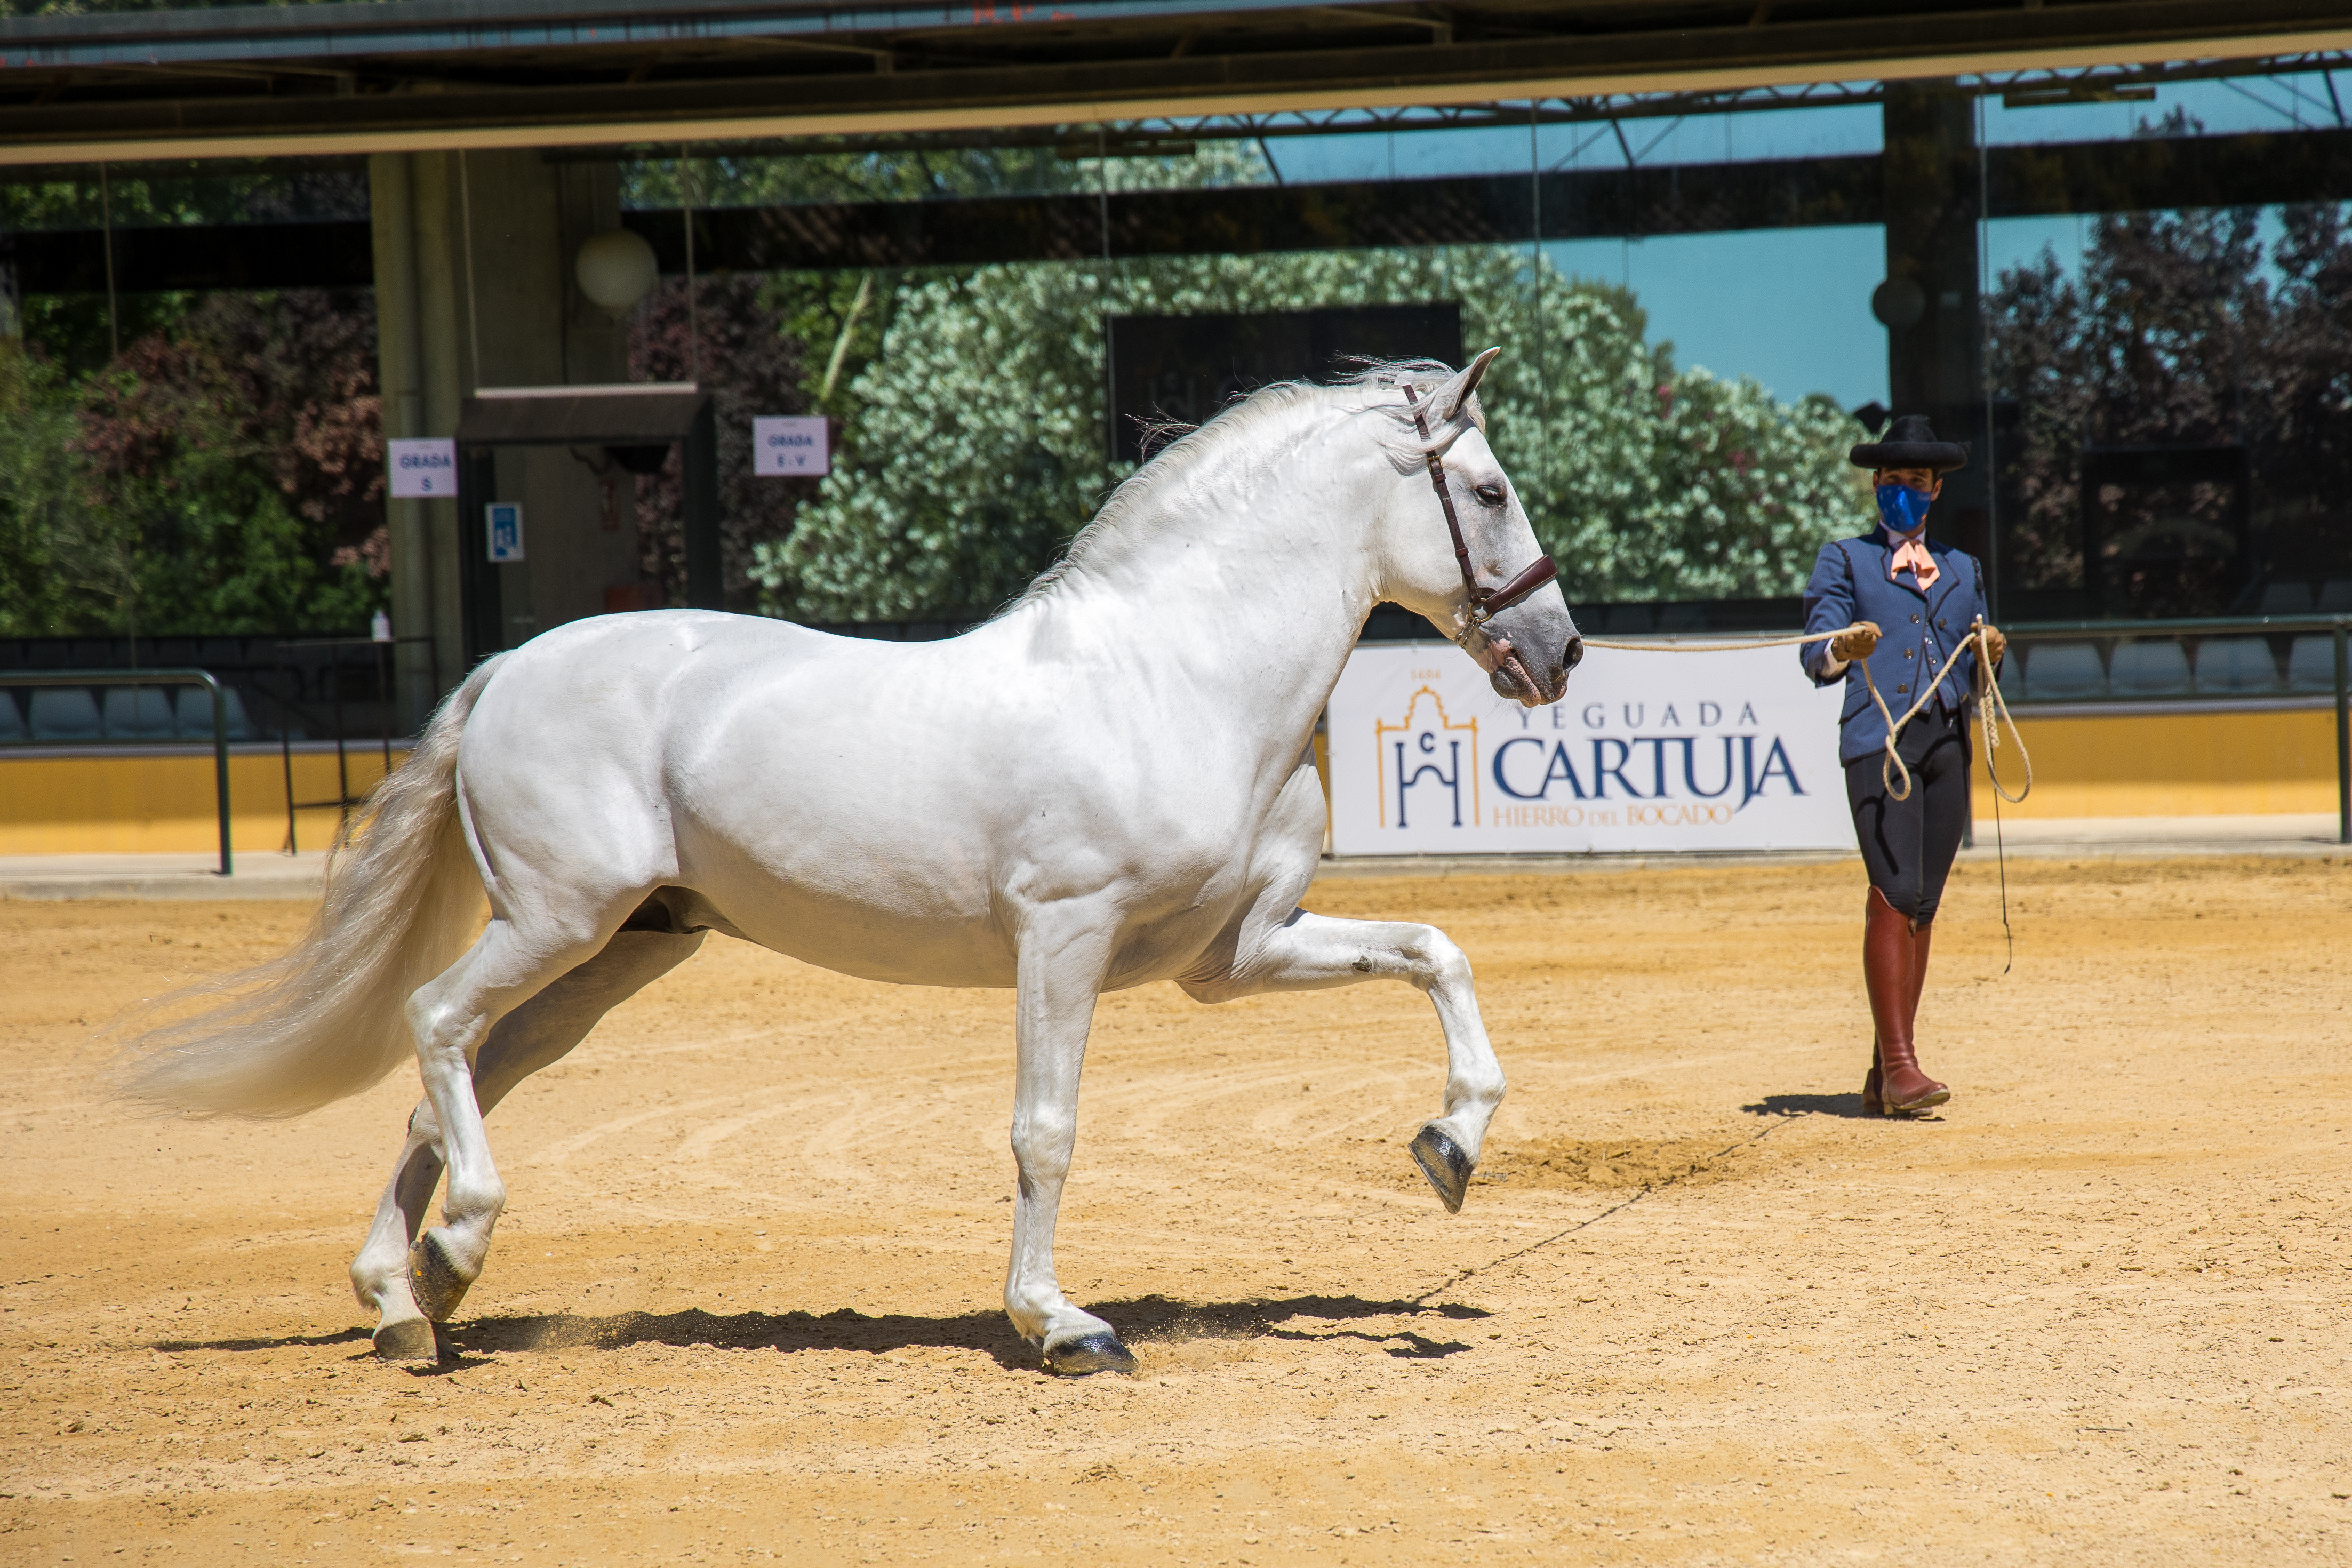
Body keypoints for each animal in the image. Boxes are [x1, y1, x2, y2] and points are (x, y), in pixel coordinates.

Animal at [119, 350, 1583, 1374]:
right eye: (1492, 492)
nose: (1558, 653)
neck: (1171, 678)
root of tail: (503, 671)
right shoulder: (1066, 936)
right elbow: (1045, 1131)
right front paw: (1063, 1327)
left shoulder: (1238, 954)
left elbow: (1436, 954)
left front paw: (1451, 1145)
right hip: (558, 920)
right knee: (434, 1029)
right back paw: (458, 1246)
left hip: (618, 954)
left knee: (455, 1080)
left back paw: (408, 1299)